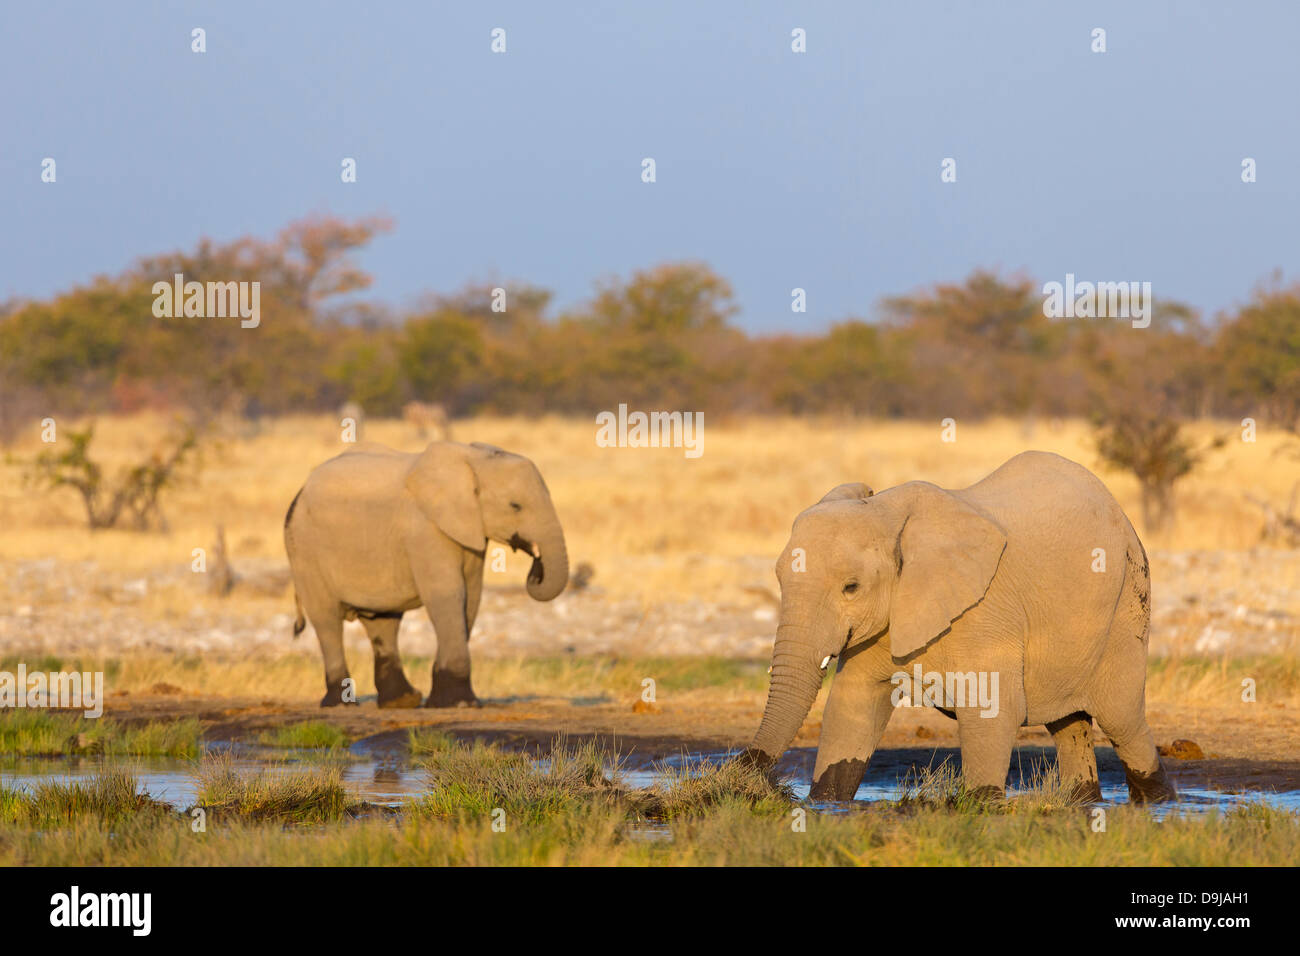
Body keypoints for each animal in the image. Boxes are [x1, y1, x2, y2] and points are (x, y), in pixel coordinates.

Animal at [284, 444, 569, 707]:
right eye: (515, 506)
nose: (535, 566)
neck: (472, 459)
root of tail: (300, 491)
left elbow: (471, 599)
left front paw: (443, 700)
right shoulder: (424, 527)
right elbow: (448, 595)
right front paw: (460, 704)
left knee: (383, 623)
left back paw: (402, 701)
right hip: (304, 550)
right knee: (327, 619)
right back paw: (341, 703)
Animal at [743, 452, 1180, 806]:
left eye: (851, 587)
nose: (746, 767)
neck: (887, 511)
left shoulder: (987, 609)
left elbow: (993, 707)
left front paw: (982, 805)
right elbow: (852, 706)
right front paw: (826, 803)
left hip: (1129, 599)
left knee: (1122, 719)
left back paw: (1159, 803)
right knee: (1069, 722)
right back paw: (1083, 802)